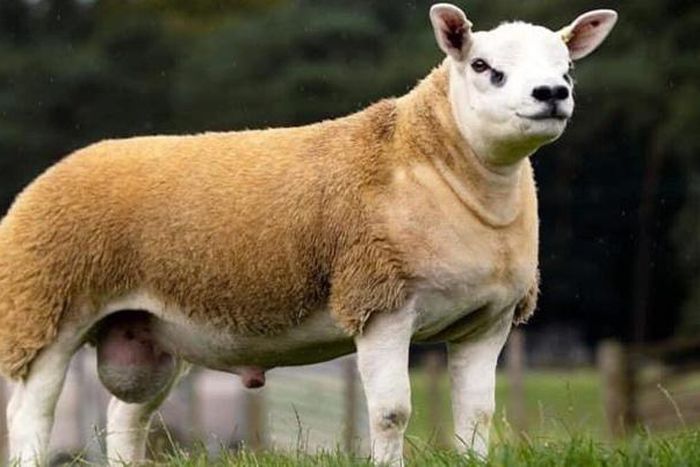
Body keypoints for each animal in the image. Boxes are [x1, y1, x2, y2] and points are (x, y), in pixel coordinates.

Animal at [0, 3, 617, 465]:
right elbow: (391, 413)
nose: (551, 94)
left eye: (567, 66)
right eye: (484, 66)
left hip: (147, 331)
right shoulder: (379, 300)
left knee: (125, 417)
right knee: (32, 415)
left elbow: (477, 416)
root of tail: (50, 175)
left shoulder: (487, 322)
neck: (439, 164)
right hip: (45, 308)